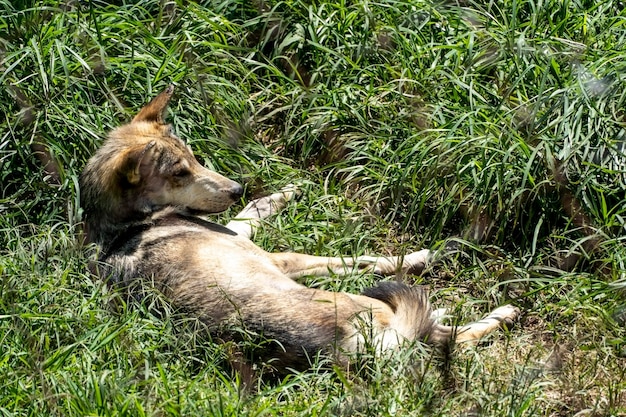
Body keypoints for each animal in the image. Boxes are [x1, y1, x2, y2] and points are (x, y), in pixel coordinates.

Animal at [79, 85, 516, 370]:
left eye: (194, 158)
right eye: (180, 173)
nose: (237, 188)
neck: (125, 226)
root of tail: (348, 350)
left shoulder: (243, 232)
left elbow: (254, 212)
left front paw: (284, 193)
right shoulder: (279, 258)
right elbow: (367, 260)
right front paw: (429, 253)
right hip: (367, 304)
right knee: (451, 336)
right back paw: (501, 313)